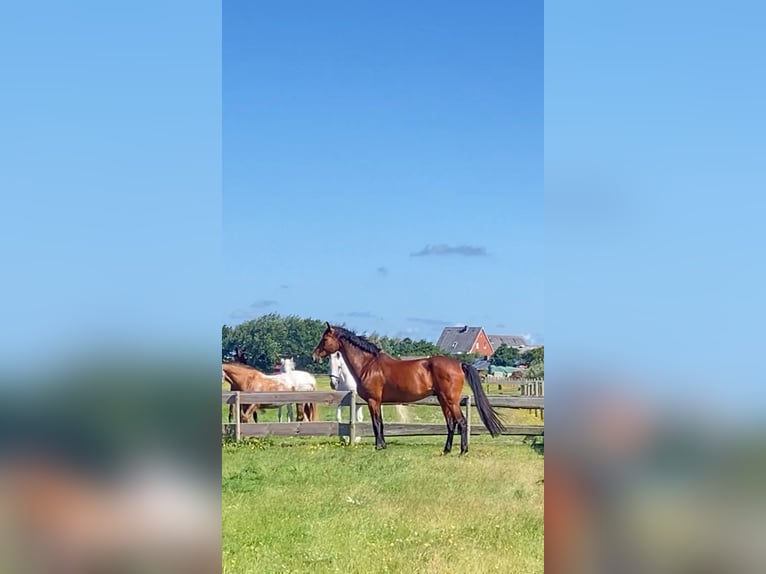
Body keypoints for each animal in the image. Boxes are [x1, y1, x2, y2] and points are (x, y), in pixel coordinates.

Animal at [312, 324, 504, 454]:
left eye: (325, 339)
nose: (314, 355)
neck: (369, 364)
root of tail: (459, 364)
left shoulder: (374, 401)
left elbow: (376, 423)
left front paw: (378, 446)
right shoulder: (378, 402)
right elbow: (381, 423)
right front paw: (383, 445)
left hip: (451, 400)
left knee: (461, 422)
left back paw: (462, 451)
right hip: (443, 400)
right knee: (451, 424)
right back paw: (446, 450)